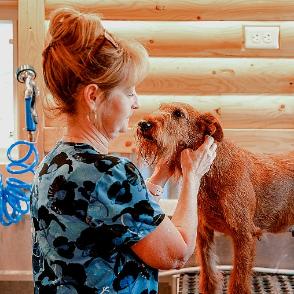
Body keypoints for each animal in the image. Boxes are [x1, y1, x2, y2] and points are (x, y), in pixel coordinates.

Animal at [136, 102, 294, 292]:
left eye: (178, 114)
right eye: (160, 107)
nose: (143, 124)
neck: (213, 172)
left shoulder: (244, 235)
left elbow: (239, 283)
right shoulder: (204, 232)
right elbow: (208, 274)